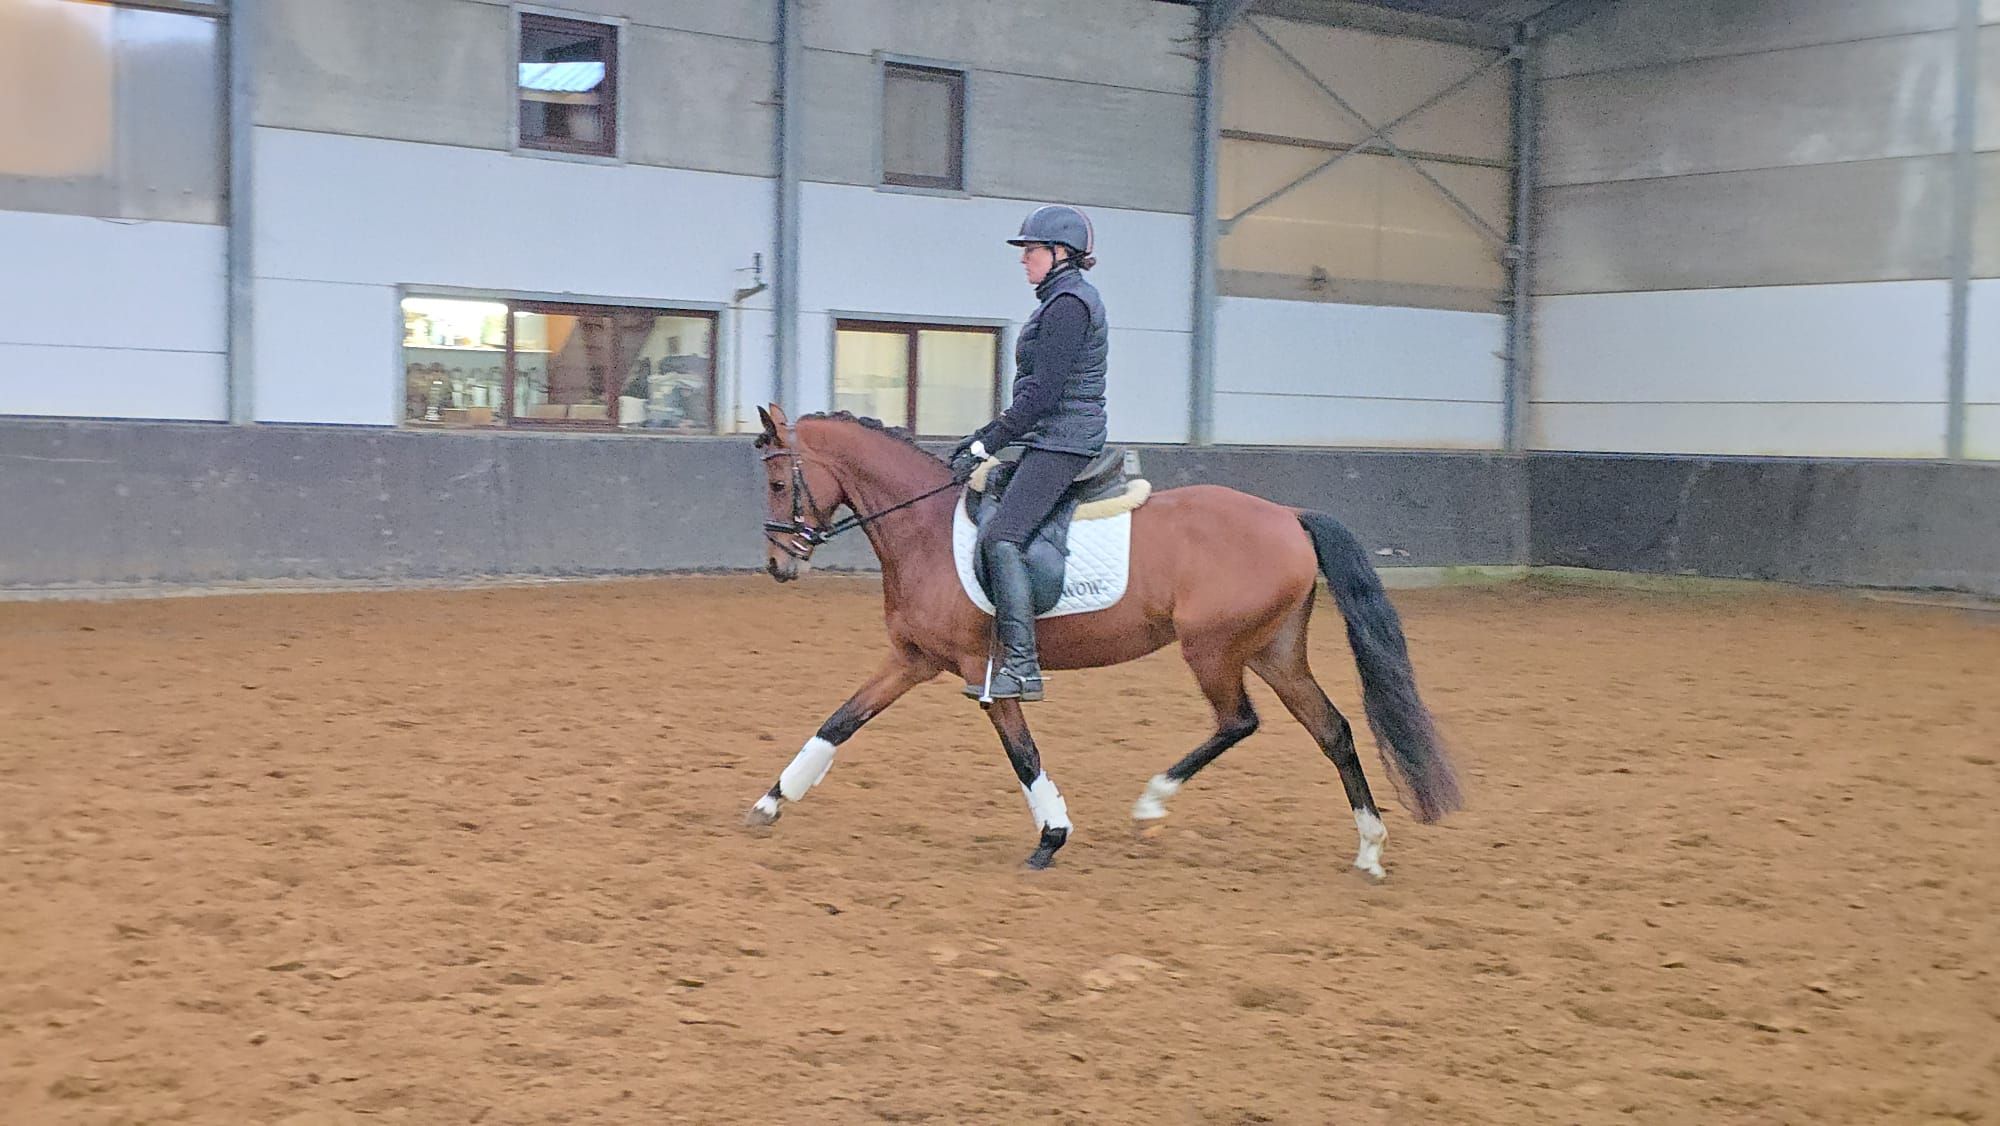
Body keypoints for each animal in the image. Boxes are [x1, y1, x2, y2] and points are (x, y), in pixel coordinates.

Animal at [743, 404, 1462, 875]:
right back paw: (1369, 847)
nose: (779, 565)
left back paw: (1151, 803)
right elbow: (840, 722)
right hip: (1273, 649)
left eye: (779, 482)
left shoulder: (986, 669)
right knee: (1332, 728)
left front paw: (1052, 837)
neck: (923, 528)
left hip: (1213, 649)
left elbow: (1023, 754)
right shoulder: (913, 659)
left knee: (1239, 721)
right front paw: (770, 803)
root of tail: (1289, 516)